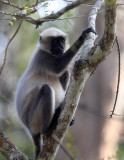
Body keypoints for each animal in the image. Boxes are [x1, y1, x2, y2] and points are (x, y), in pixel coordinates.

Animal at [15, 26, 95, 159]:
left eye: (61, 40)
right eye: (55, 41)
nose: (60, 47)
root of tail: (29, 128)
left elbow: (63, 71)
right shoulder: (43, 57)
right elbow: (58, 67)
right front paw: (83, 37)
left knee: (65, 73)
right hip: (34, 118)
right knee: (47, 89)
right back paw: (47, 128)